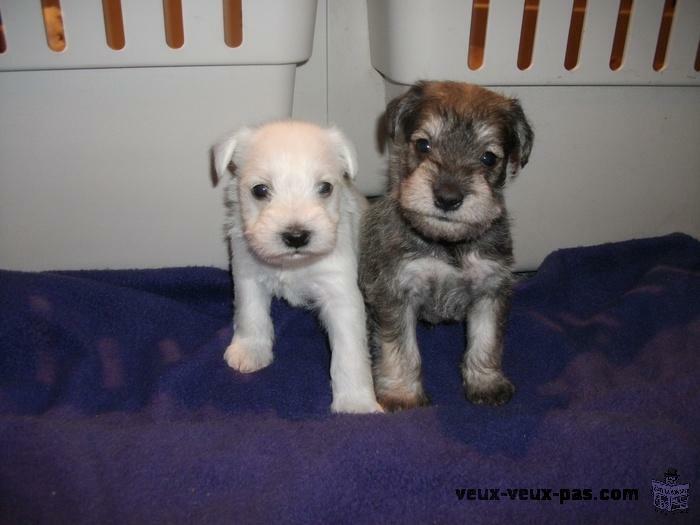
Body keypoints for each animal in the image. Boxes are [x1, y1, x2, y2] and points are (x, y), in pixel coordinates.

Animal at [215, 119, 382, 414]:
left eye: (325, 187)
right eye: (260, 190)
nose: (296, 236)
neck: (293, 264)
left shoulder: (340, 294)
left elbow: (349, 352)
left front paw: (356, 403)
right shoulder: (247, 272)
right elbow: (251, 314)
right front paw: (250, 352)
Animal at [360, 81, 532, 410]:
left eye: (488, 157)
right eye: (423, 145)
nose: (448, 197)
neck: (447, 243)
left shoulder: (491, 288)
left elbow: (486, 341)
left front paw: (486, 384)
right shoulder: (396, 292)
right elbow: (400, 349)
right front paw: (402, 394)